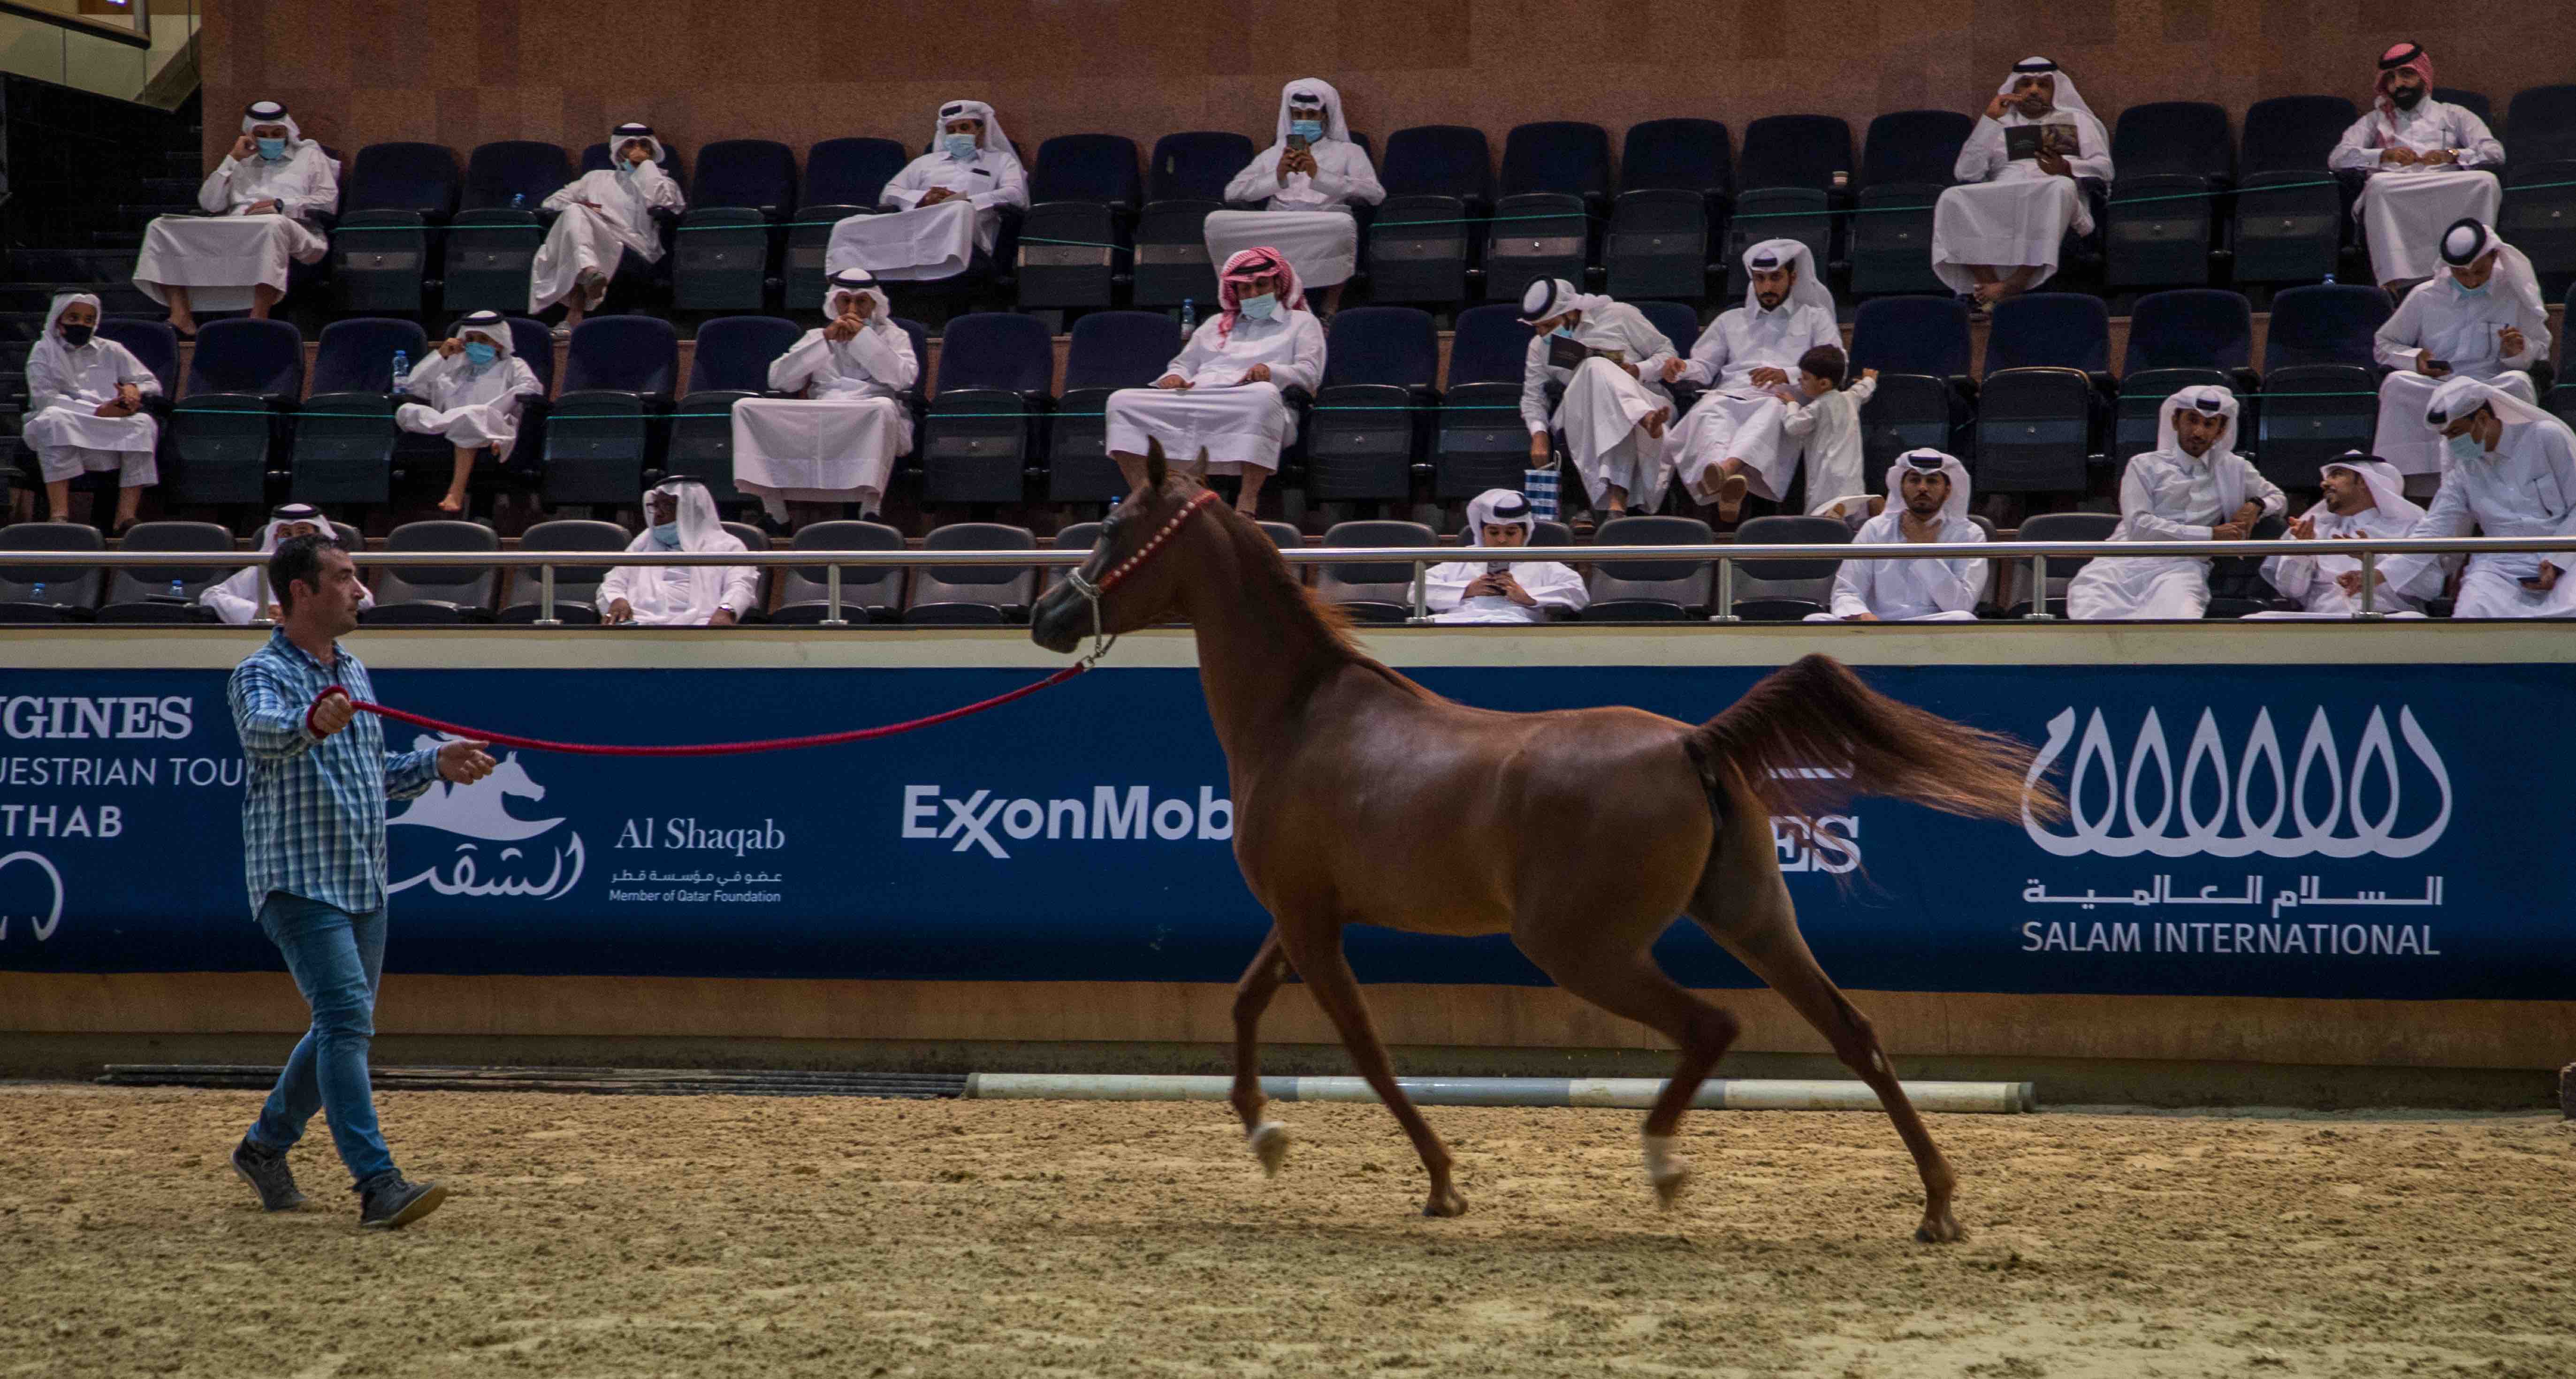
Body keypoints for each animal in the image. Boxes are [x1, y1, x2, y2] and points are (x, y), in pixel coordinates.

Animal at [1030, 443, 2060, 1242]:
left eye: (1115, 528)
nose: (1046, 618)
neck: (1301, 717)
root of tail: (1692, 744)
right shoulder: (1305, 914)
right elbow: (1245, 1005)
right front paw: (1263, 1133)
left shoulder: (1312, 923)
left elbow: (1364, 1048)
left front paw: (1441, 1182)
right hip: (1753, 918)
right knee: (1853, 1031)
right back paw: (1937, 1204)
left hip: (1580, 948)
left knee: (1713, 1026)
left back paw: (1665, 1165)